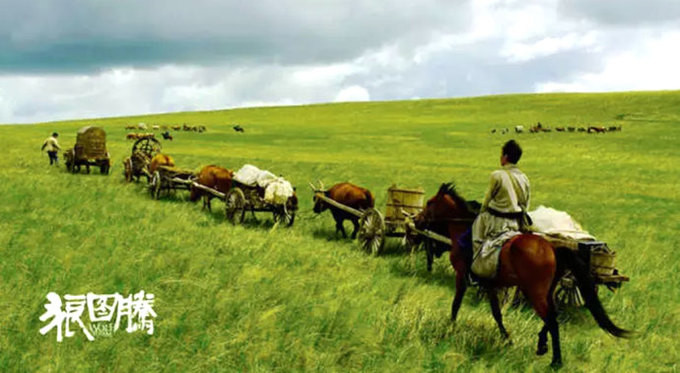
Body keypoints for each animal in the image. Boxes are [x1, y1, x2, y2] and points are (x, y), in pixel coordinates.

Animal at [414, 183, 632, 366]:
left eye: (431, 202)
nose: (417, 220)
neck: (463, 228)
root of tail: (553, 248)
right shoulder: (490, 283)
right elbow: (496, 313)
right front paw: (507, 339)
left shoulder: (462, 275)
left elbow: (456, 305)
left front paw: (449, 328)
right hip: (545, 291)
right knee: (554, 314)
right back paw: (542, 345)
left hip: (533, 292)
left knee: (551, 319)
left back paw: (556, 361)